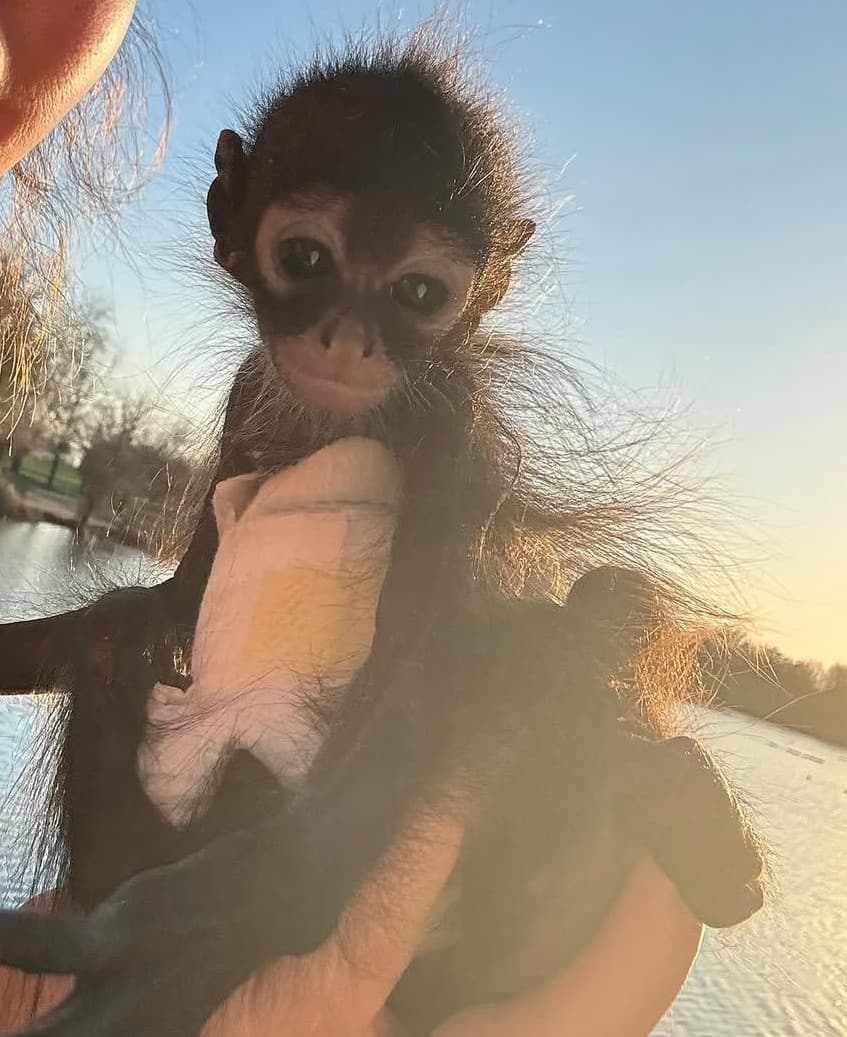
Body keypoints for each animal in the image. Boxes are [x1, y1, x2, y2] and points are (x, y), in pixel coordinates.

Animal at [0, 31, 764, 1037]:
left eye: (416, 291)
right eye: (306, 258)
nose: (345, 338)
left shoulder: (453, 422)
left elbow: (421, 661)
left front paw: (232, 918)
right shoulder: (251, 389)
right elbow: (175, 599)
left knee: (575, 619)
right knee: (116, 637)